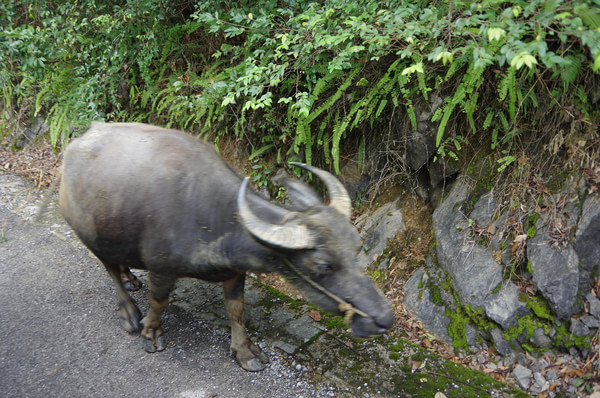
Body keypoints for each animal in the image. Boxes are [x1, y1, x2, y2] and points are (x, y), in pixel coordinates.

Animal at [57, 123, 394, 372]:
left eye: (356, 247)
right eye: (323, 264)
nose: (384, 319)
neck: (212, 215)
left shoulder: (235, 272)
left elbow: (236, 309)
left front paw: (244, 352)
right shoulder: (161, 268)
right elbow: (159, 301)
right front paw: (151, 333)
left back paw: (130, 277)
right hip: (88, 233)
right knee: (109, 268)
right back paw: (128, 310)